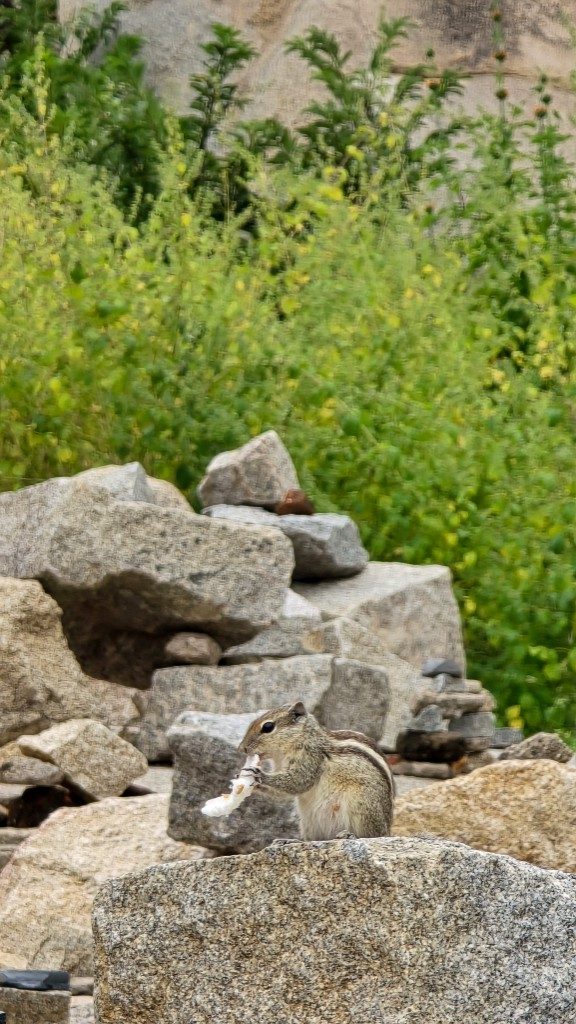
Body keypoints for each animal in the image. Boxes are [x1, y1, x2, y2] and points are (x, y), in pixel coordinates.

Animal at [238, 701, 394, 841]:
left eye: (268, 726)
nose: (242, 748)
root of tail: (387, 829)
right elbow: (282, 792)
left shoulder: (311, 758)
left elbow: (297, 782)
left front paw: (260, 775)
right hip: (308, 822)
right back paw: (291, 840)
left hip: (362, 806)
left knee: (372, 835)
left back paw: (350, 835)